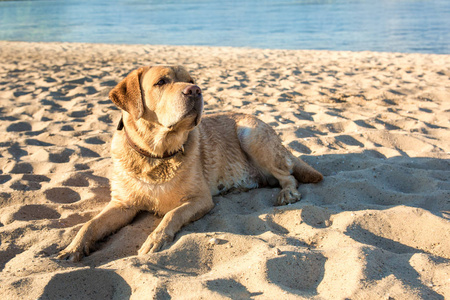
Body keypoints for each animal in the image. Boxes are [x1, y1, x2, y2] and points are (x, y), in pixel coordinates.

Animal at [57, 65, 324, 260]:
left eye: (191, 79)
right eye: (161, 82)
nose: (195, 90)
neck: (155, 155)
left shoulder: (200, 199)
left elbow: (170, 216)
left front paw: (155, 240)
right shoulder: (122, 204)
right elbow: (90, 224)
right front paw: (72, 248)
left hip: (250, 134)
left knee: (288, 175)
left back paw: (287, 193)